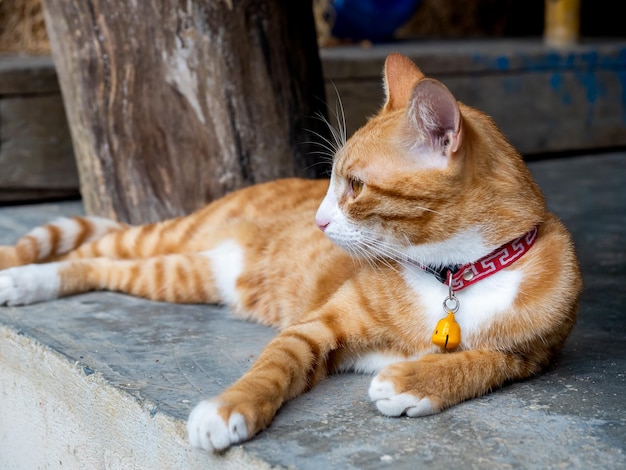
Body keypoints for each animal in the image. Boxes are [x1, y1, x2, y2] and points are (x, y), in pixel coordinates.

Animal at [0, 52, 580, 452]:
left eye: (354, 186)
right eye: (331, 181)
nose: (317, 220)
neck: (455, 274)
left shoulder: (534, 356)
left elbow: (483, 361)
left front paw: (414, 381)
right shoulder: (317, 326)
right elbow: (270, 369)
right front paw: (228, 409)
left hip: (179, 274)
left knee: (100, 264)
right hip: (168, 239)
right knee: (93, 248)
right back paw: (18, 277)